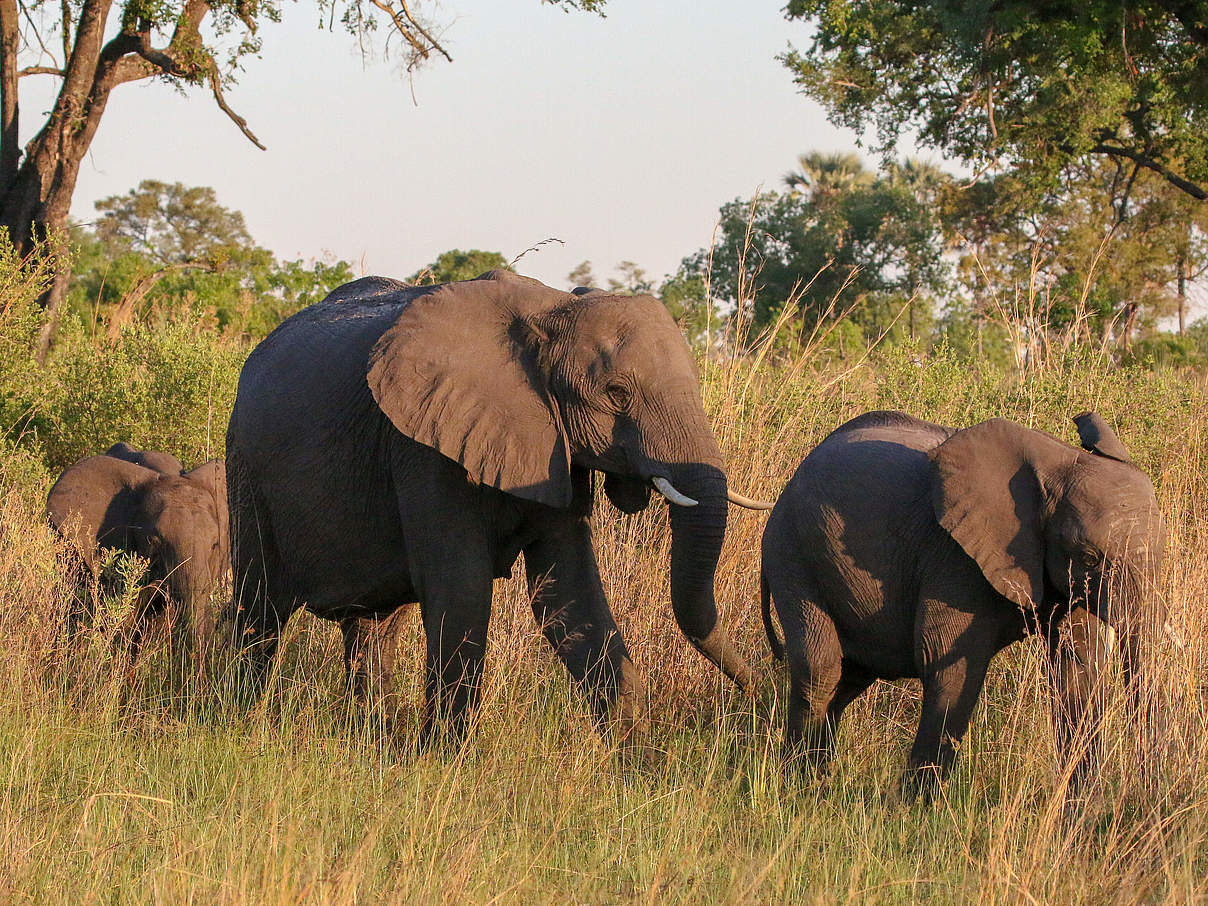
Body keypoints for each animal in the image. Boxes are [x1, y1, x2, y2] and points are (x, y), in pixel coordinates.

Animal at [229, 265, 768, 739]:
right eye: (616, 393)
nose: (763, 694)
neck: (553, 309)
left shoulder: (554, 446)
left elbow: (569, 594)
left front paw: (635, 765)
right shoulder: (425, 448)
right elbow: (463, 590)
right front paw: (442, 761)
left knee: (374, 625)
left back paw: (372, 738)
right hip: (247, 470)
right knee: (259, 606)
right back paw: (234, 722)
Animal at [763, 408, 1169, 797]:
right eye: (1088, 557)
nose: (1145, 795)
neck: (1058, 461)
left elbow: (1077, 671)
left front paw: (1081, 807)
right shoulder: (954, 558)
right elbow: (949, 667)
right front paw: (916, 809)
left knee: (850, 678)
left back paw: (817, 783)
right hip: (792, 552)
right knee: (821, 668)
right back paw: (798, 787)